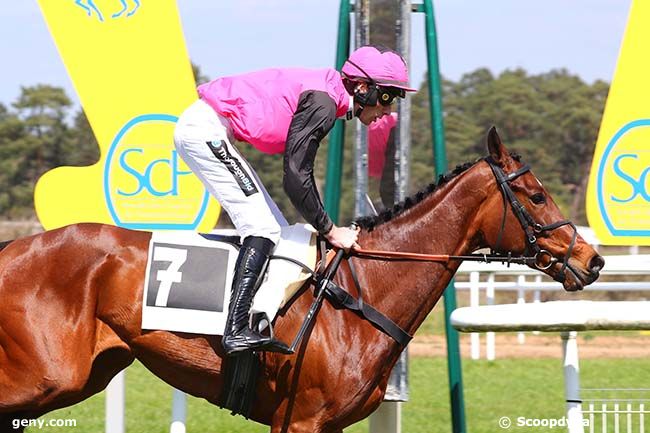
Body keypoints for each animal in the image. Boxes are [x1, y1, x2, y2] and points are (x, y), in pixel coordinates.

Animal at [0, 128, 604, 432]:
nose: (593, 259)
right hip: (48, 377)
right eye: (535, 196)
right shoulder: (300, 421)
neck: (363, 292)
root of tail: (15, 247)